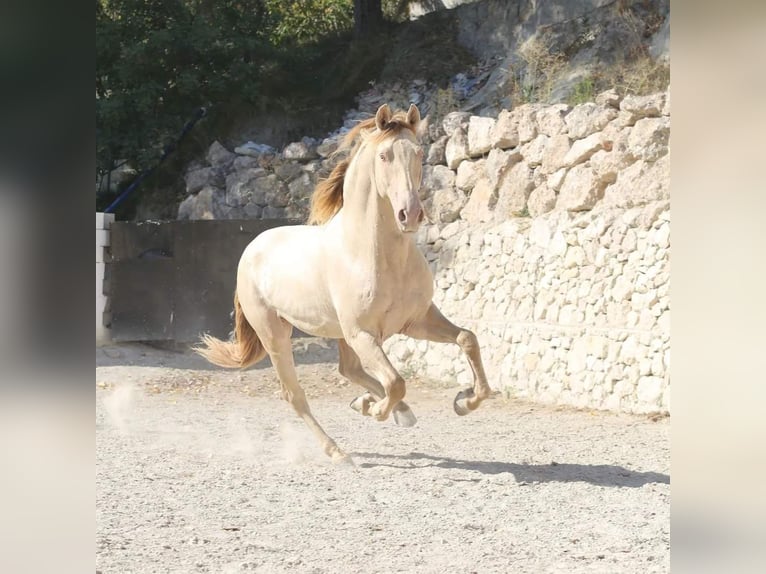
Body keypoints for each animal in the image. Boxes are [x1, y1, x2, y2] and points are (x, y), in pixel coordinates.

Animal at [198, 103, 496, 464]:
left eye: (418, 152)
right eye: (384, 156)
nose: (410, 215)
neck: (375, 255)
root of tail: (251, 249)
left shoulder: (416, 320)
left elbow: (467, 339)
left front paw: (464, 401)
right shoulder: (363, 333)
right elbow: (396, 382)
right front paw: (377, 411)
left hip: (339, 334)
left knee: (348, 370)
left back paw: (384, 408)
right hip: (277, 335)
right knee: (295, 394)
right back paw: (339, 450)